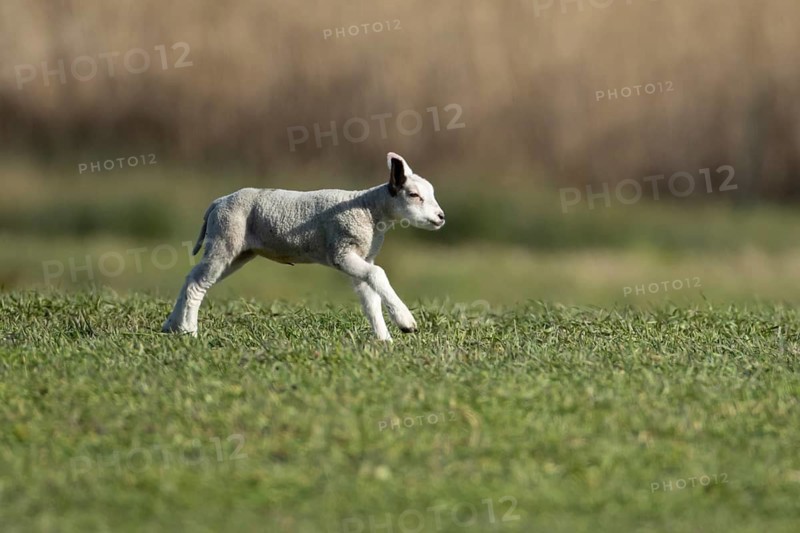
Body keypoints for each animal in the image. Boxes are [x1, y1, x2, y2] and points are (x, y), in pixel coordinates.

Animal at [161, 152, 445, 340]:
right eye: (414, 195)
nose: (441, 217)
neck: (368, 209)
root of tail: (217, 203)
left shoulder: (362, 256)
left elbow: (370, 297)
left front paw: (384, 340)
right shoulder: (342, 251)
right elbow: (379, 275)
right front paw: (406, 322)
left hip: (237, 252)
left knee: (192, 277)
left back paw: (172, 325)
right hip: (225, 240)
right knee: (197, 282)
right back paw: (189, 330)